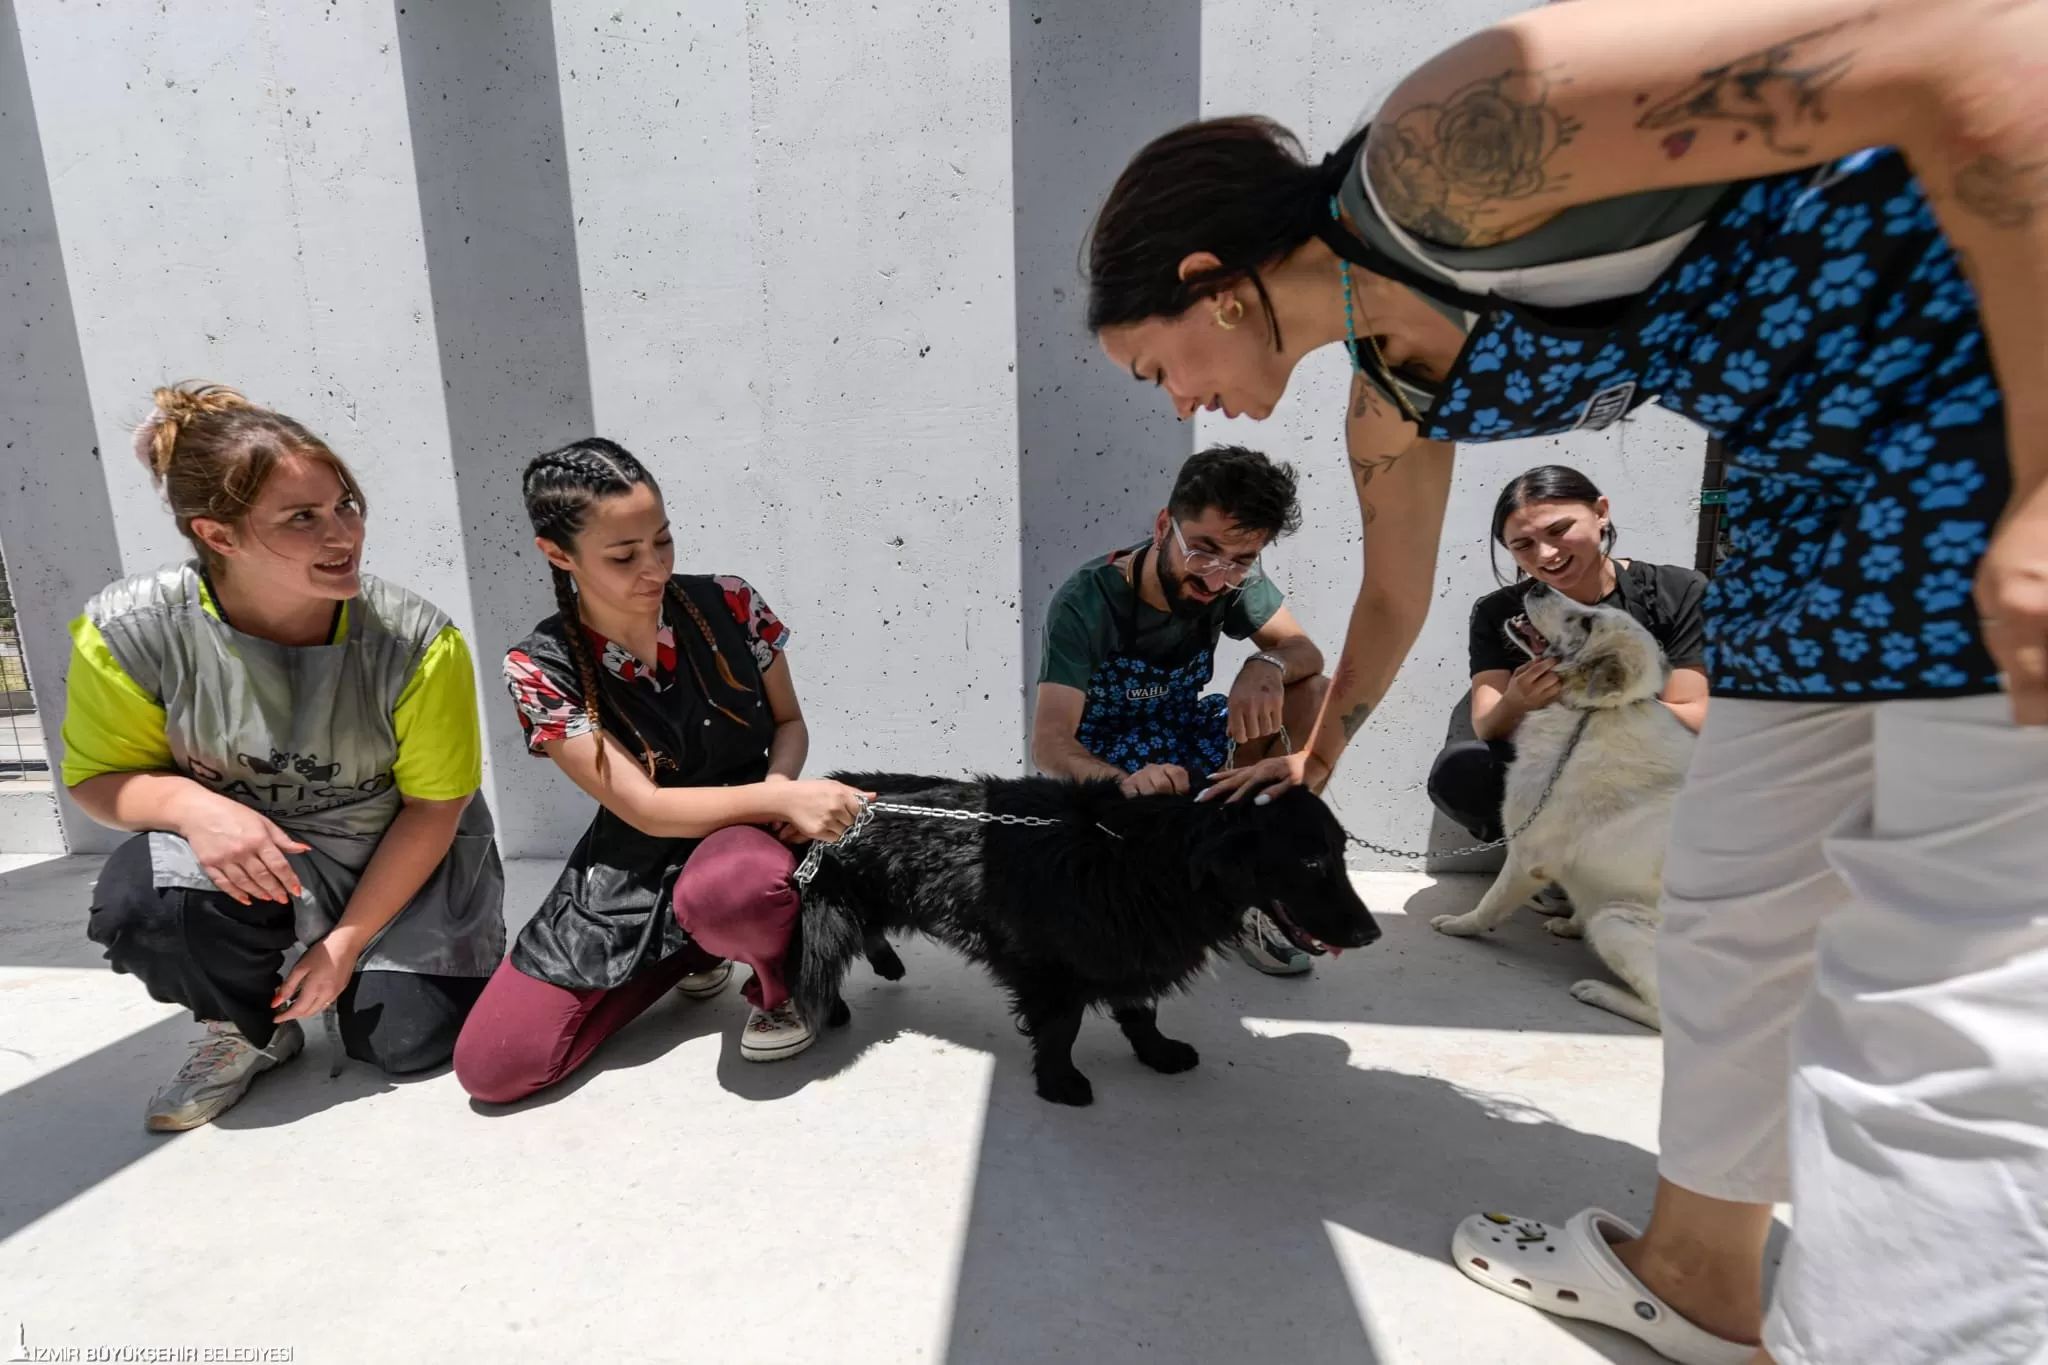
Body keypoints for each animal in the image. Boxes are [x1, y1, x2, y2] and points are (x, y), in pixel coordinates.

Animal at [790, 773, 1384, 1105]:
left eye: (1340, 853)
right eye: (1311, 861)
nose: (1372, 933)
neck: (1147, 859)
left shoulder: (1128, 949)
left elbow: (1140, 1012)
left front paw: (1158, 1053)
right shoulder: (1051, 968)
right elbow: (1061, 1029)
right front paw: (1060, 1083)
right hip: (835, 905)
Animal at [1425, 581, 1695, 1031]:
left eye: (1586, 621)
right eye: (1592, 609)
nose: (1537, 585)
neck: (1590, 711)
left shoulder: (1526, 853)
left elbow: (1489, 905)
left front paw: (1461, 926)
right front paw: (1569, 923)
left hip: (1616, 922)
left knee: (1664, 1015)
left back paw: (1599, 992)